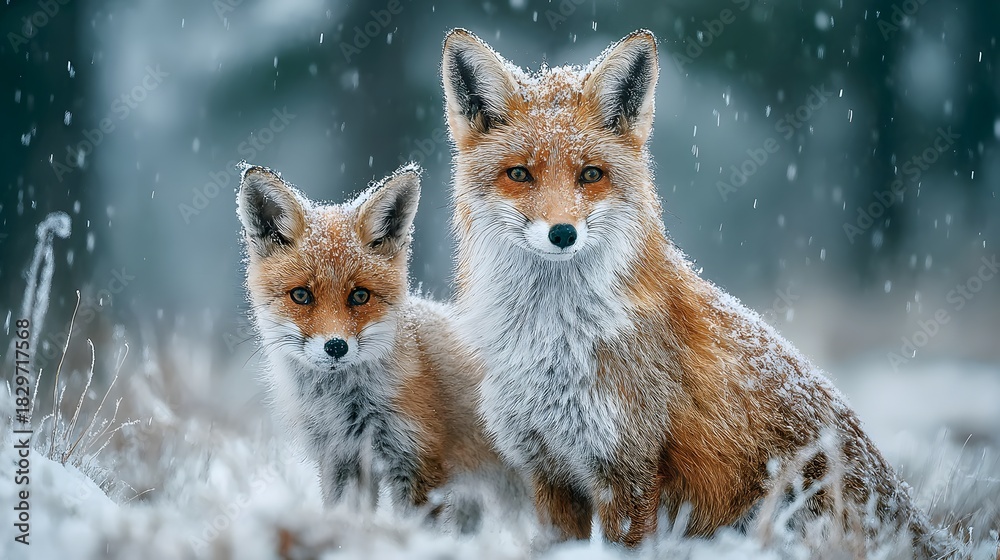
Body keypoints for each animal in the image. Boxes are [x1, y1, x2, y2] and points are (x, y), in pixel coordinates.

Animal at [237, 162, 526, 532]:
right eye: (301, 295)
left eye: (360, 295)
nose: (336, 347)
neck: (341, 405)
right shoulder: (342, 458)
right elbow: (345, 520)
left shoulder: (418, 459)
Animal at [440, 28, 957, 555]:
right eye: (519, 174)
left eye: (591, 174)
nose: (562, 233)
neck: (552, 344)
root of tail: (917, 521)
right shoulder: (548, 471)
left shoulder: (629, 471)